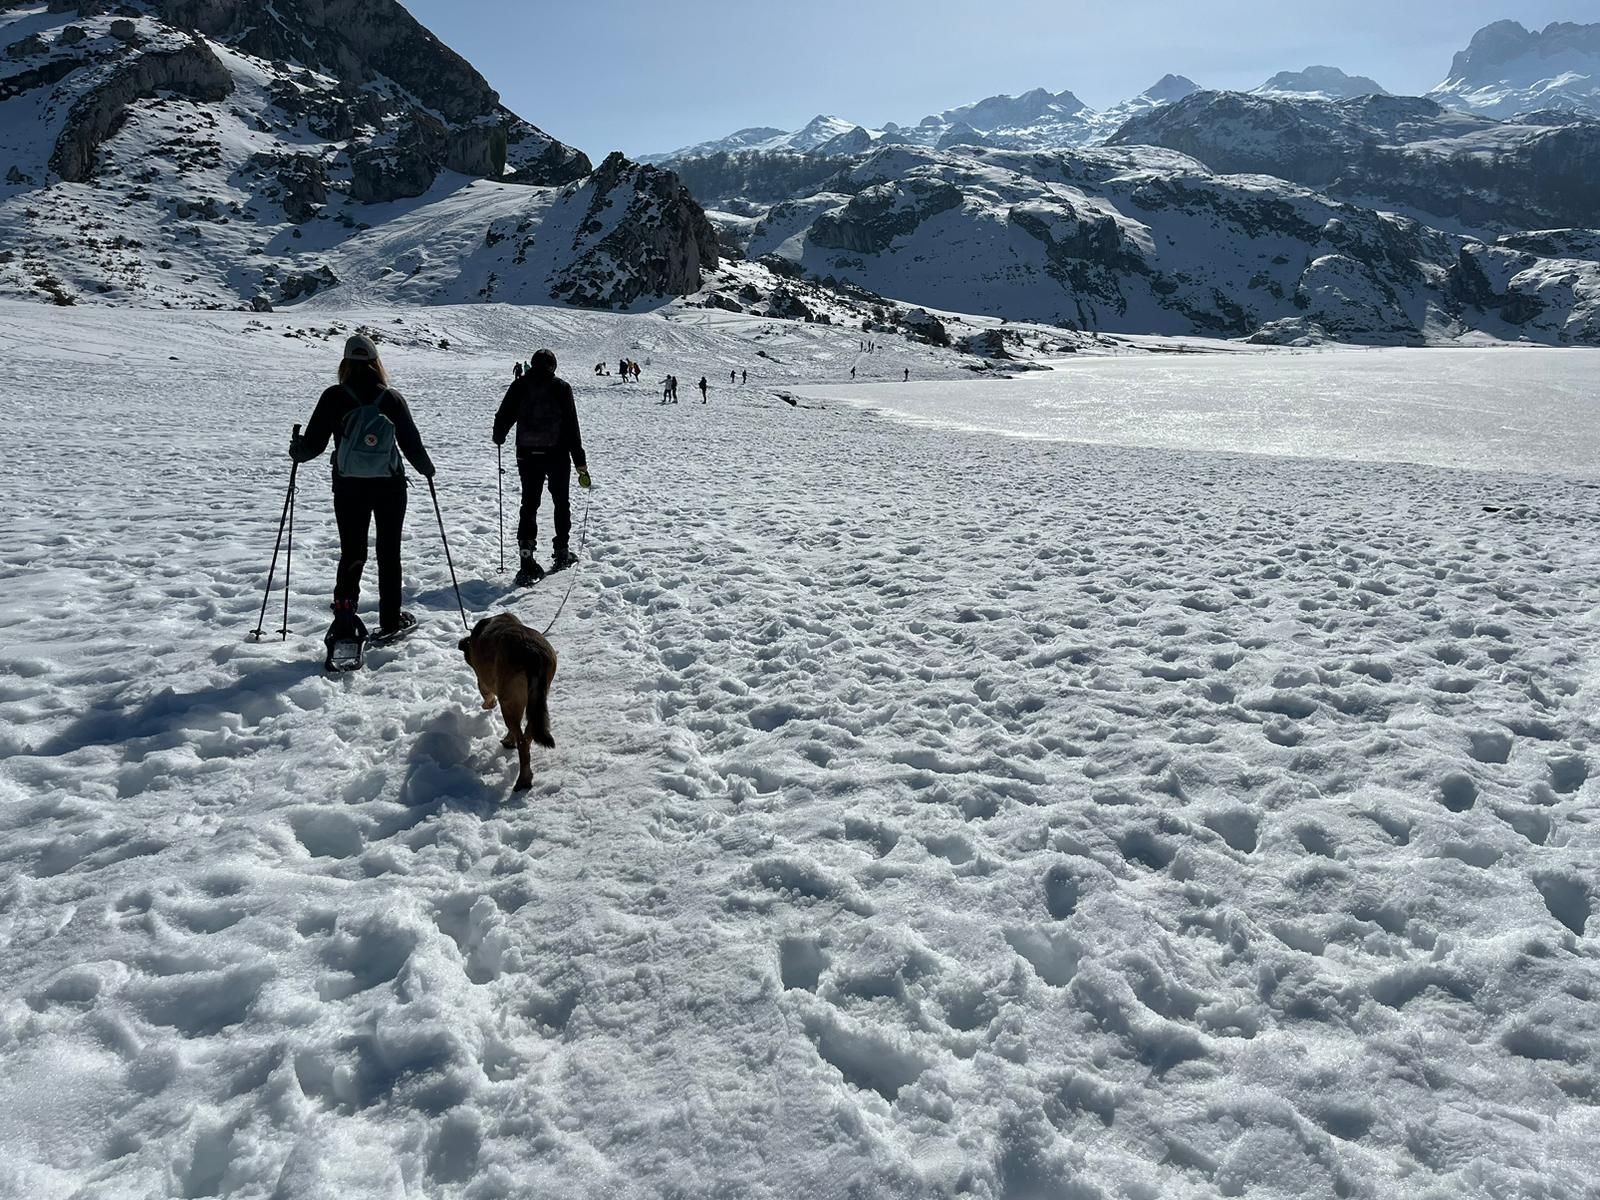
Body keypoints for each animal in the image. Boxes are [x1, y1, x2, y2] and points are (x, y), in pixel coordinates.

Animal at [460, 614, 560, 793]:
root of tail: (533, 652)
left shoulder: (484, 680)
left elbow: (487, 694)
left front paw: (487, 705)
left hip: (508, 700)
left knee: (522, 742)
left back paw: (522, 780)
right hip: (535, 700)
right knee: (527, 736)